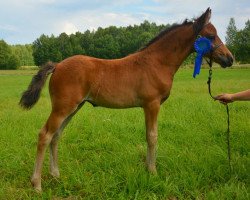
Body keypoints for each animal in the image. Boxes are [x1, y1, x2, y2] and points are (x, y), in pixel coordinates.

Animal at [20, 8, 233, 192]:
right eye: (211, 36)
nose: (229, 59)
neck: (156, 63)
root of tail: (57, 66)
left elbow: (149, 135)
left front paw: (148, 168)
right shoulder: (152, 104)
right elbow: (152, 136)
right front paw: (152, 171)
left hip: (73, 108)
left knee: (56, 136)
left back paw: (55, 175)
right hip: (63, 108)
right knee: (45, 135)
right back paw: (37, 184)